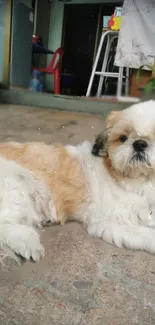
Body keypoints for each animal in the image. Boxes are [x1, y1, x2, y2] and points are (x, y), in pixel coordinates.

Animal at [0, 98, 155, 260]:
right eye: (123, 138)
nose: (140, 143)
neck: (141, 180)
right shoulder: (112, 221)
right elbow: (147, 235)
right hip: (14, 185)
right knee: (4, 224)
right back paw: (28, 243)